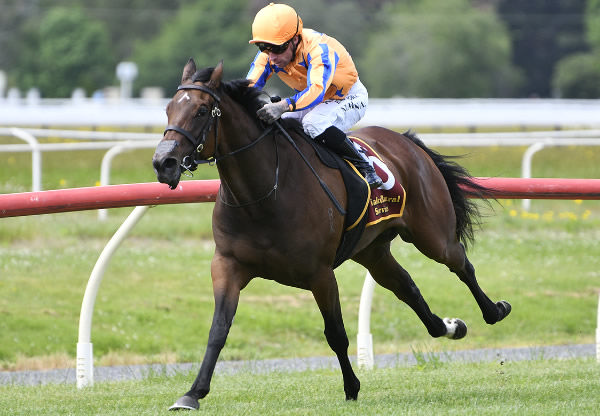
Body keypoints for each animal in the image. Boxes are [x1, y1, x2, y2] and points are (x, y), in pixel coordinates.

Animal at [151, 58, 510, 410]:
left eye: (201, 110)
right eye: (168, 108)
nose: (163, 163)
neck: (264, 193)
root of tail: (406, 140)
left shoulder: (320, 273)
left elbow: (335, 332)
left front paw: (352, 387)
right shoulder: (227, 265)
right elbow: (218, 330)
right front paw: (192, 393)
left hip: (431, 235)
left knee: (461, 263)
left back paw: (494, 311)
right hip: (372, 251)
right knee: (407, 287)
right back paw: (450, 326)